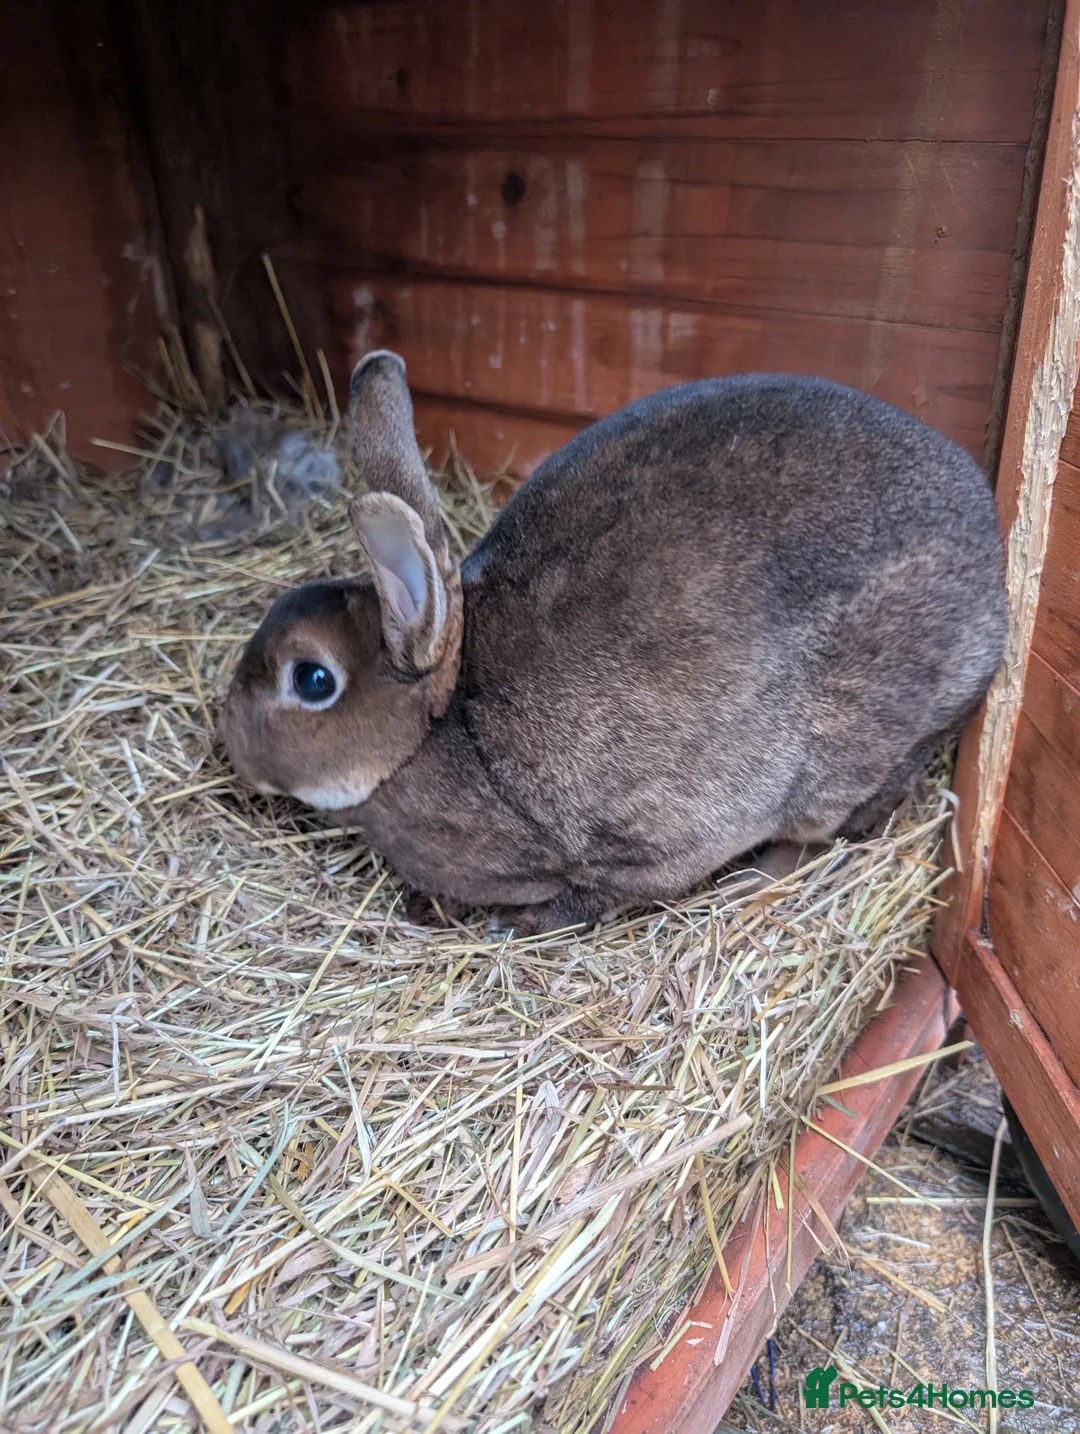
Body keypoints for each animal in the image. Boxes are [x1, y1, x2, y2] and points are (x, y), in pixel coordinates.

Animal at [220, 350, 1007, 935]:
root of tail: (998, 587)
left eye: (312, 679)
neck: (439, 725)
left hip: (850, 748)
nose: (232, 749)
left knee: (833, 824)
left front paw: (507, 922)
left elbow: (595, 897)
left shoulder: (645, 841)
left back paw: (752, 879)